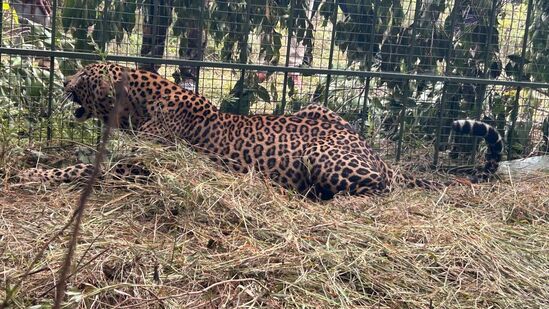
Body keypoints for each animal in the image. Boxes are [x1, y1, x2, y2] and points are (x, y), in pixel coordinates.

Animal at [15, 63, 504, 200]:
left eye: (85, 76)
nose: (65, 81)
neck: (139, 105)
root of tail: (377, 153)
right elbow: (71, 159)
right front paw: (33, 159)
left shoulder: (139, 164)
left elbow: (74, 171)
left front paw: (28, 176)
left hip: (324, 157)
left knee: (377, 191)